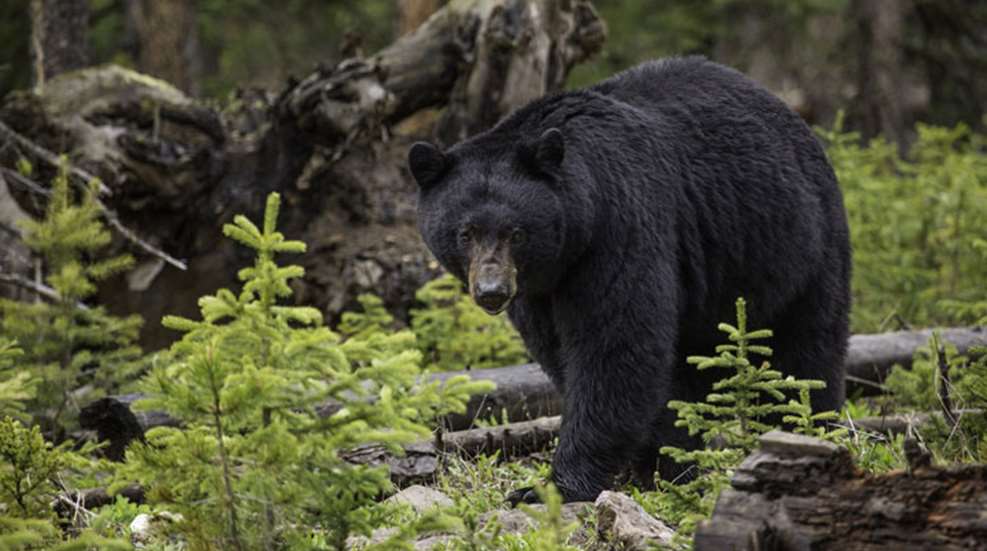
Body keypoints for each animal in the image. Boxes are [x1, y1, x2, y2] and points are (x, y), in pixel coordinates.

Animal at [408, 56, 851, 503]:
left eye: (516, 232)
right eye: (465, 233)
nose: (492, 292)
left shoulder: (619, 228)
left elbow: (615, 347)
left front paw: (553, 486)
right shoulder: (540, 290)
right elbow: (564, 352)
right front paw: (657, 464)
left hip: (799, 247)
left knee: (805, 352)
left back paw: (804, 431)